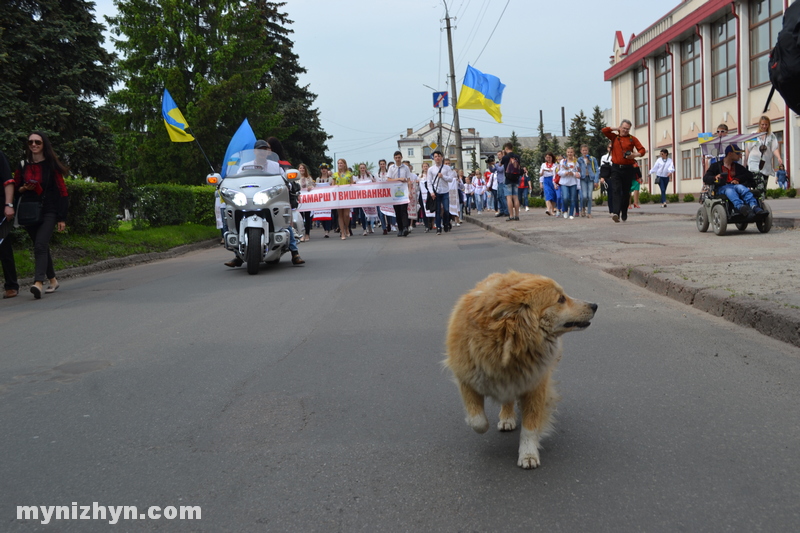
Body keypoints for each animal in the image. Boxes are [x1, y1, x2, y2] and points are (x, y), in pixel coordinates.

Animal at [446, 272, 596, 468]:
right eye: (561, 299)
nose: (595, 305)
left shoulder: (536, 385)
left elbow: (530, 426)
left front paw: (528, 454)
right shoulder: (466, 379)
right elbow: (478, 421)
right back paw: (507, 416)